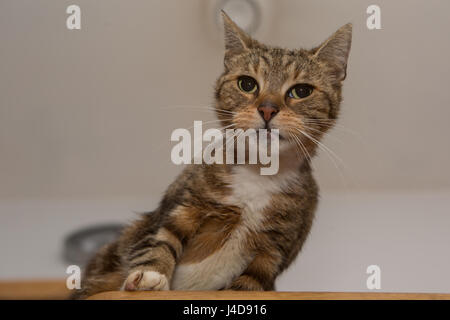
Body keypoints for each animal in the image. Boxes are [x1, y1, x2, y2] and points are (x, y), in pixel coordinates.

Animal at [70, 11, 352, 298]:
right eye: (247, 84)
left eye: (302, 91)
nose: (267, 109)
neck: (258, 175)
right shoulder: (182, 206)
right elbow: (160, 239)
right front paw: (151, 275)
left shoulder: (274, 250)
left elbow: (250, 282)